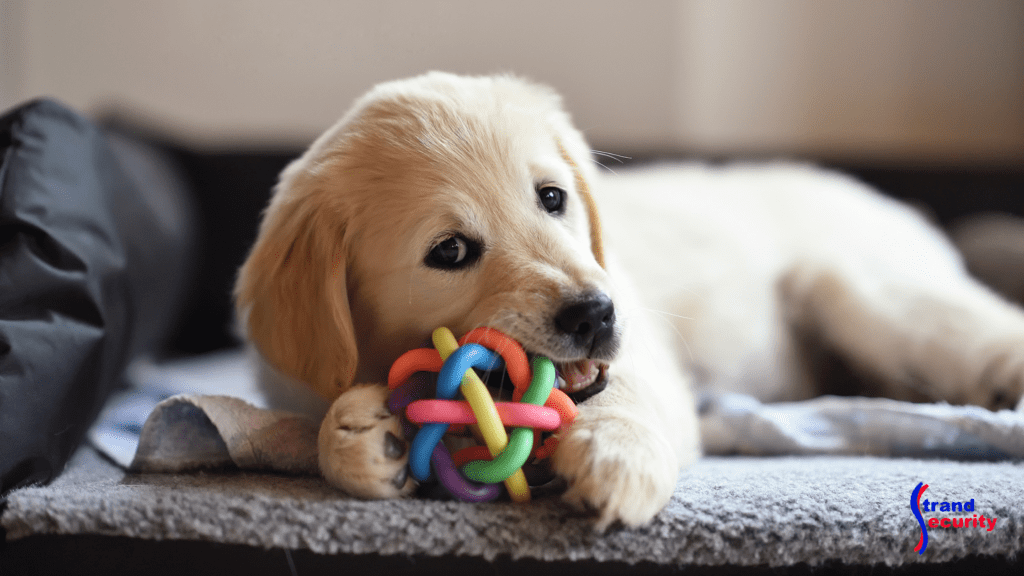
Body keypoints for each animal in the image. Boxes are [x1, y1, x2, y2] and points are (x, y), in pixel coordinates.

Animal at [237, 69, 1024, 528]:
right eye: (450, 252)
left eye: (552, 197)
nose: (594, 314)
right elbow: (320, 422)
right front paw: (362, 435)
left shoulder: (645, 353)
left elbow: (623, 394)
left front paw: (617, 457)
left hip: (862, 292)